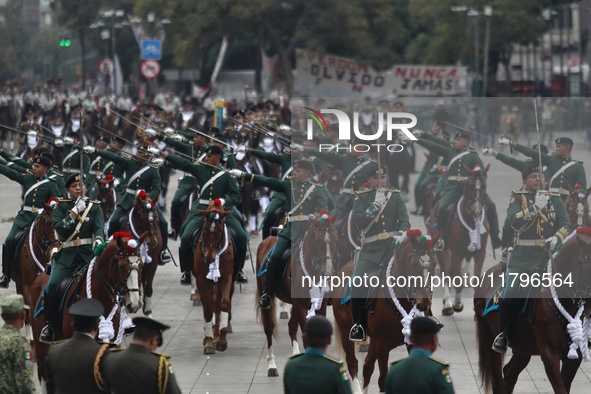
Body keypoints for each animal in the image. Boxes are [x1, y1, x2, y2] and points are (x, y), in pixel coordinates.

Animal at [192, 203, 234, 354]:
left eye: (220, 230)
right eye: (204, 228)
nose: (209, 258)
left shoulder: (227, 278)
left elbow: (224, 305)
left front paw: (222, 340)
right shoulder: (202, 280)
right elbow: (208, 310)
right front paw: (209, 342)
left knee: (217, 305)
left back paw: (217, 335)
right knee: (208, 305)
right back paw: (209, 337)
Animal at [254, 211, 338, 378]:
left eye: (335, 239)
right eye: (317, 240)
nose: (328, 273)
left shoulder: (320, 305)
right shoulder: (300, 305)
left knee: (291, 326)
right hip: (266, 297)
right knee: (269, 328)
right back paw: (272, 365)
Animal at [332, 229, 440, 392]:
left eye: (434, 263)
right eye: (414, 264)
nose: (424, 303)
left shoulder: (408, 342)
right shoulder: (382, 343)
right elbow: (383, 379)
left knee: (367, 366)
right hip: (346, 331)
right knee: (353, 363)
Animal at [474, 228, 591, 394]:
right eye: (587, 267)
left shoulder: (574, 357)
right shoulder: (549, 354)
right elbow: (560, 388)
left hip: (522, 346)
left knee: (509, 374)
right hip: (489, 339)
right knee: (498, 381)